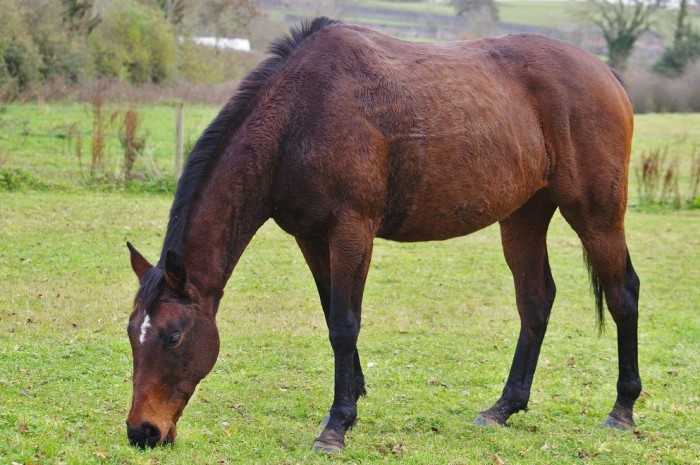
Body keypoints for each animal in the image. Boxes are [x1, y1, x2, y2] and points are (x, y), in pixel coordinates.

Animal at [125, 17, 641, 452]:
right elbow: (332, 314)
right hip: (524, 215)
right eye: (132, 333)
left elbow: (344, 323)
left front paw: (336, 425)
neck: (300, 114)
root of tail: (608, 74)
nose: (142, 432)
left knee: (623, 293)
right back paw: (503, 408)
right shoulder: (311, 237)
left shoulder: (352, 230)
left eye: (173, 337)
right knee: (535, 302)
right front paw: (351, 401)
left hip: (595, 214)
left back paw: (622, 410)